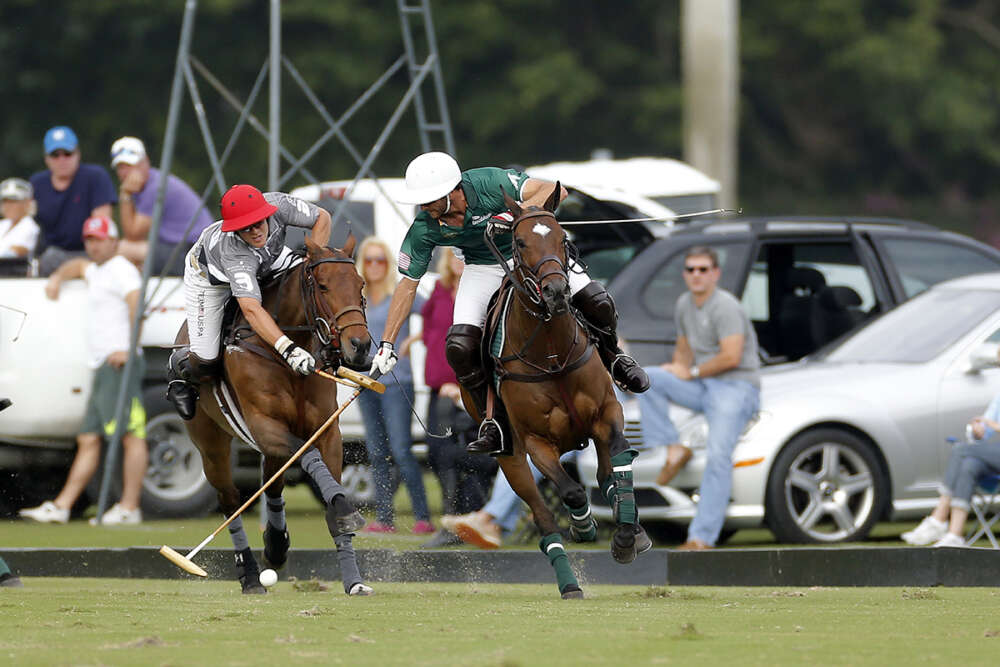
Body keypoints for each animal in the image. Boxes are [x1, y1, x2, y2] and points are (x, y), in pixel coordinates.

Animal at [174, 239, 374, 596]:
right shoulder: (264, 425)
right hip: (210, 443)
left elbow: (327, 483)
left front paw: (353, 579)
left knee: (273, 485)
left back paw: (276, 546)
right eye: (323, 285)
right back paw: (250, 576)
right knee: (230, 499)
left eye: (360, 284)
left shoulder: (328, 431)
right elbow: (307, 455)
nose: (360, 347)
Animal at [472, 187, 652, 600]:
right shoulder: (536, 441)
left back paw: (631, 528)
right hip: (510, 457)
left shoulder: (607, 413)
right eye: (520, 242)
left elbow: (620, 461)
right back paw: (570, 583)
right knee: (543, 516)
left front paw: (626, 536)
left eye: (561, 237)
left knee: (605, 475)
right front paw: (583, 526)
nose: (555, 291)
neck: (551, 352)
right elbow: (571, 493)